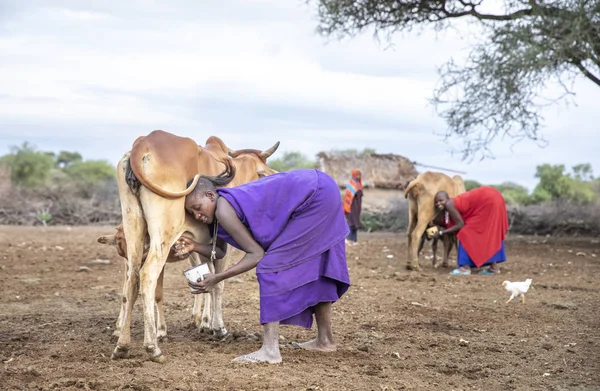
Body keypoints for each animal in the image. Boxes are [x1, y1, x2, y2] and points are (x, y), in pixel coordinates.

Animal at [110, 132, 278, 364]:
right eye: (262, 173)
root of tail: (142, 144)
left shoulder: (202, 244)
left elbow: (208, 281)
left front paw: (205, 323)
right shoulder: (223, 240)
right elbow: (219, 284)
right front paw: (218, 328)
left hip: (133, 229)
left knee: (131, 282)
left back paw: (123, 345)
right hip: (163, 234)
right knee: (147, 276)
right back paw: (153, 347)